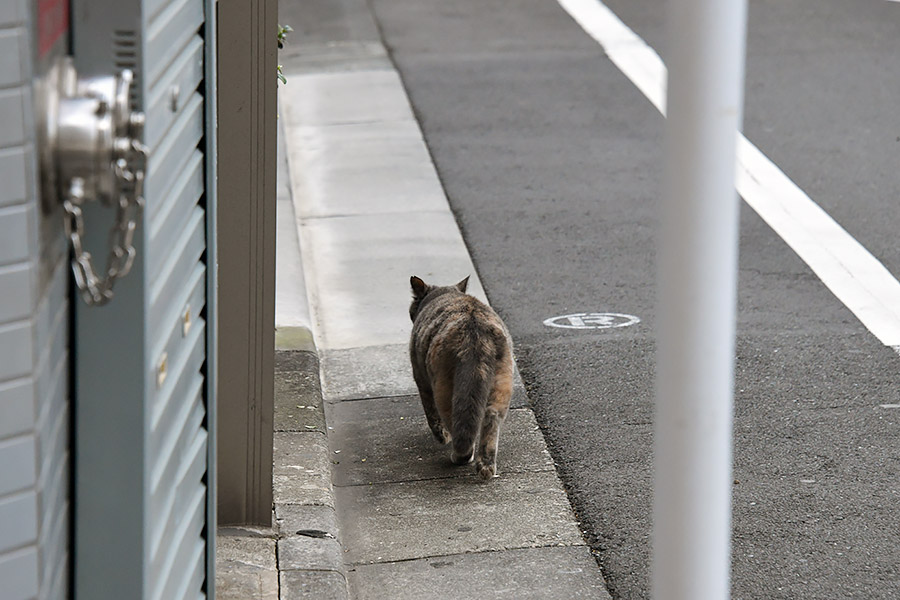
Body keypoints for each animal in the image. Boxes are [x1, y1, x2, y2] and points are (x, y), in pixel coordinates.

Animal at [408, 274, 512, 480]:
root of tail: (476, 329)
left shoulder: (421, 379)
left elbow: (431, 414)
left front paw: (442, 437)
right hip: (501, 385)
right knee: (491, 418)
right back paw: (486, 466)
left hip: (444, 388)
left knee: (455, 421)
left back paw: (461, 456)